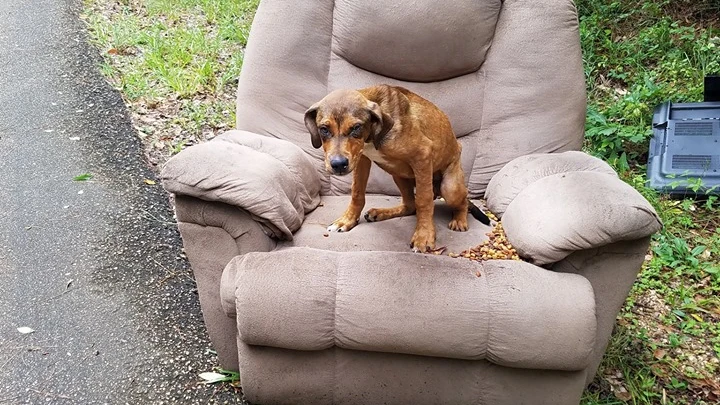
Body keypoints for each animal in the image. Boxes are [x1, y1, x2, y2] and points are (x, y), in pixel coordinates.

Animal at [304, 83, 490, 251]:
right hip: (398, 175)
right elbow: (357, 193)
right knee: (409, 205)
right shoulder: (361, 159)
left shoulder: (423, 155)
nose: (338, 165)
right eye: (324, 129)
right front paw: (347, 220)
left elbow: (424, 200)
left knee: (461, 202)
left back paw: (459, 219)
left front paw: (424, 236)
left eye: (356, 127)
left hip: (450, 187)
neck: (373, 135)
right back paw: (380, 213)